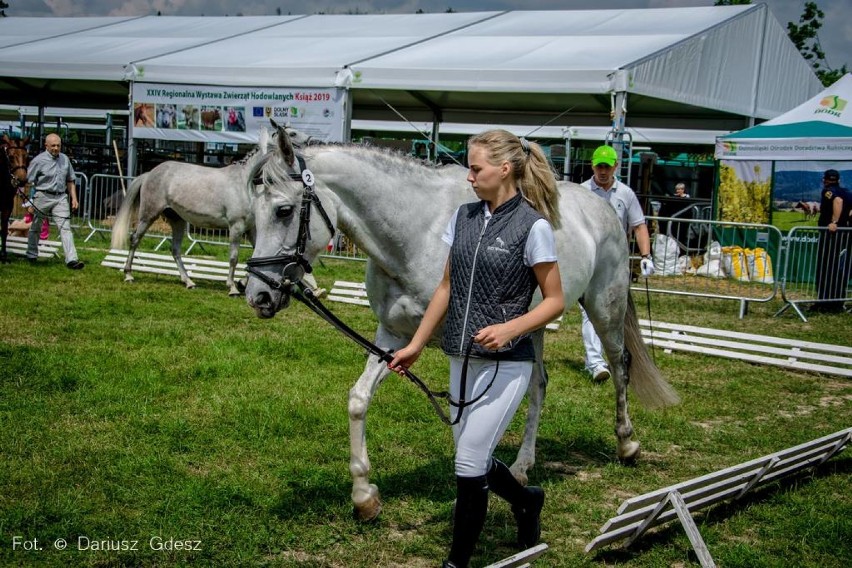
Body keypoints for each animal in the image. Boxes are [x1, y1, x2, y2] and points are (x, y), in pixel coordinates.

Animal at [246, 126, 680, 520]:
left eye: (284, 211)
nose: (258, 295)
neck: (416, 232)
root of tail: (603, 206)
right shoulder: (394, 338)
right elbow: (358, 399)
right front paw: (364, 496)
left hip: (605, 308)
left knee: (621, 368)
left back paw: (626, 444)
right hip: (532, 329)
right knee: (539, 386)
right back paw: (523, 466)